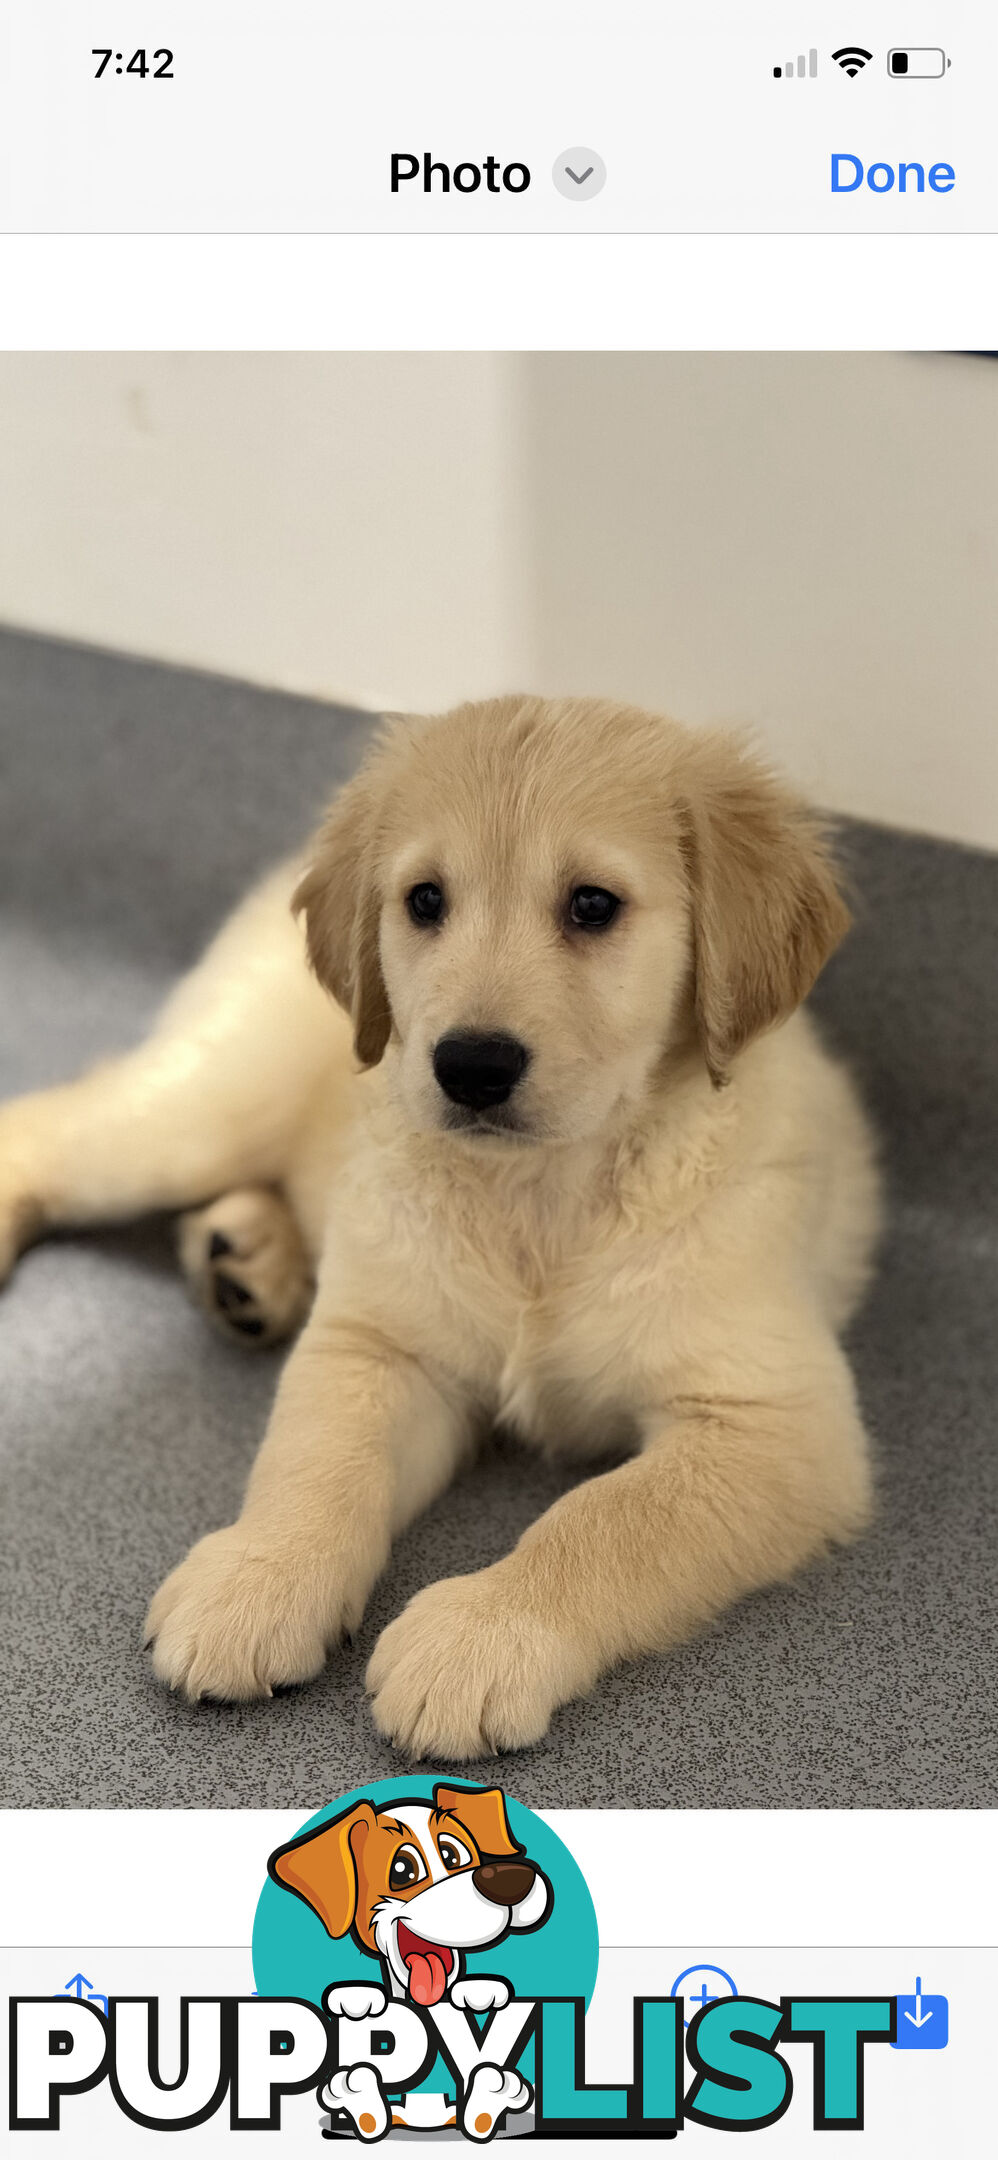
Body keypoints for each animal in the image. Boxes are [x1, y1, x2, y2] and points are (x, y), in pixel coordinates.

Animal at [0, 699, 877, 1762]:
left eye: (592, 906)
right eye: (425, 901)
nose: (471, 1066)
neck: (543, 1192)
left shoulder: (773, 1424)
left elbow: (607, 1518)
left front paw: (483, 1636)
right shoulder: (381, 1345)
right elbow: (318, 1460)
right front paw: (258, 1578)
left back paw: (246, 1265)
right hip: (203, 1112)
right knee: (47, 1128)